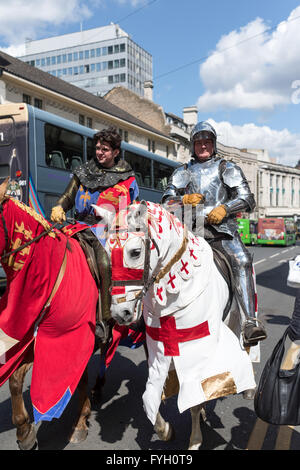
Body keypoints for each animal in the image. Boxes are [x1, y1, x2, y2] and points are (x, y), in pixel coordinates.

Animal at [0, 178, 108, 450]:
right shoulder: (34, 337)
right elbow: (15, 380)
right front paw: (24, 432)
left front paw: (80, 422)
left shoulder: (71, 337)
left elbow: (78, 377)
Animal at [95, 200, 255, 450]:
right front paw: (164, 430)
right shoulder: (158, 347)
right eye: (108, 254)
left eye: (135, 252)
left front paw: (195, 441)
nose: (121, 313)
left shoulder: (198, 347)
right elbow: (150, 393)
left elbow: (195, 397)